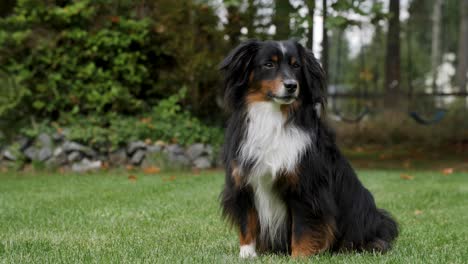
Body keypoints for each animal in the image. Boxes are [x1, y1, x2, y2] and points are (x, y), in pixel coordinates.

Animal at [219, 40, 398, 258]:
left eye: (296, 65)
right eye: (269, 64)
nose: (291, 86)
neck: (273, 117)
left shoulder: (306, 187)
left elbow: (303, 227)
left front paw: (300, 257)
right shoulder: (243, 183)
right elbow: (247, 223)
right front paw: (247, 254)